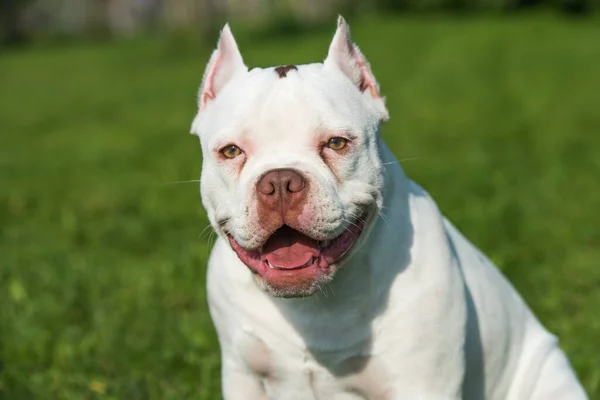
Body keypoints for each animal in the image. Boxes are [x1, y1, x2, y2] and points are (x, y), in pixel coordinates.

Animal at [190, 16, 588, 400]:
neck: (315, 303)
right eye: (231, 151)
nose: (280, 182)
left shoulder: (423, 384)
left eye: (337, 143)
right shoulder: (243, 376)